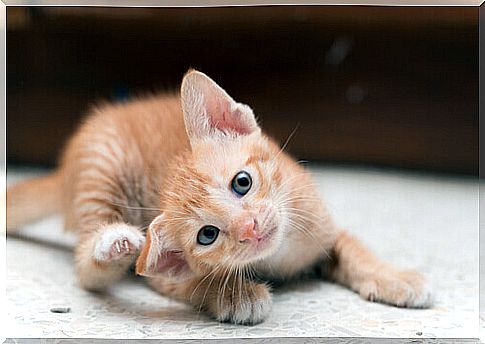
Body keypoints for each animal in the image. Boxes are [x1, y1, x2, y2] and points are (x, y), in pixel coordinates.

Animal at [6, 70, 432, 326]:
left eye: (241, 183)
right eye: (207, 234)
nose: (251, 228)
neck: (279, 255)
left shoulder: (321, 225)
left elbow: (355, 250)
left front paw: (394, 277)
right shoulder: (166, 278)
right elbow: (195, 284)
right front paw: (236, 295)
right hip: (101, 169)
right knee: (86, 270)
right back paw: (114, 242)